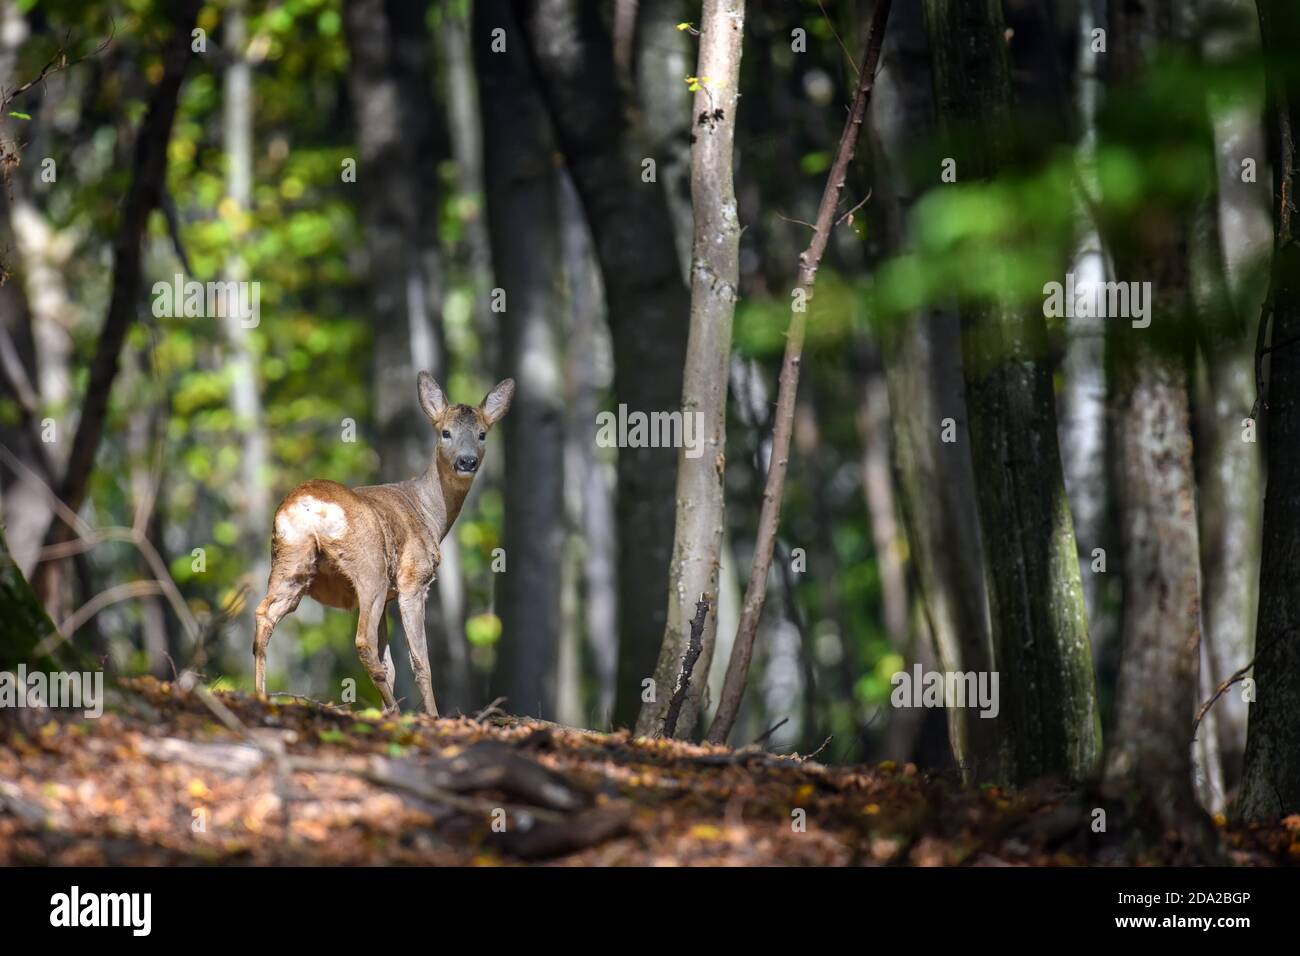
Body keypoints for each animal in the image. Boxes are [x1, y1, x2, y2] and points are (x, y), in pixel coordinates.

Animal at [250, 374, 514, 717]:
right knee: (362, 641)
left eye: (482, 434)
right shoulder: (413, 579)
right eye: (445, 432)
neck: (429, 512)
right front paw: (432, 716)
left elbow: (391, 664)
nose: (466, 461)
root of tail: (308, 505)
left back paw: (260, 696)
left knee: (264, 614)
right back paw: (396, 712)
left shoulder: (389, 595)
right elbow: (420, 660)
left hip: (289, 561)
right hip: (368, 566)